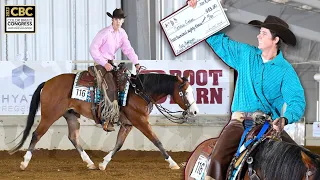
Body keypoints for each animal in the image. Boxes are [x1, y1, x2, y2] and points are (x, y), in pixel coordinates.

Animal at [8, 68, 199, 170]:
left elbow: (119, 144)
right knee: (36, 134)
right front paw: (173, 163)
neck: (139, 91)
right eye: (184, 92)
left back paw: (90, 163)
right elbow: (156, 141)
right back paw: (24, 162)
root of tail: (47, 82)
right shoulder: (140, 121)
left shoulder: (128, 124)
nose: (195, 111)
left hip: (71, 115)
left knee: (73, 137)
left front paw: (103, 163)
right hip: (50, 115)